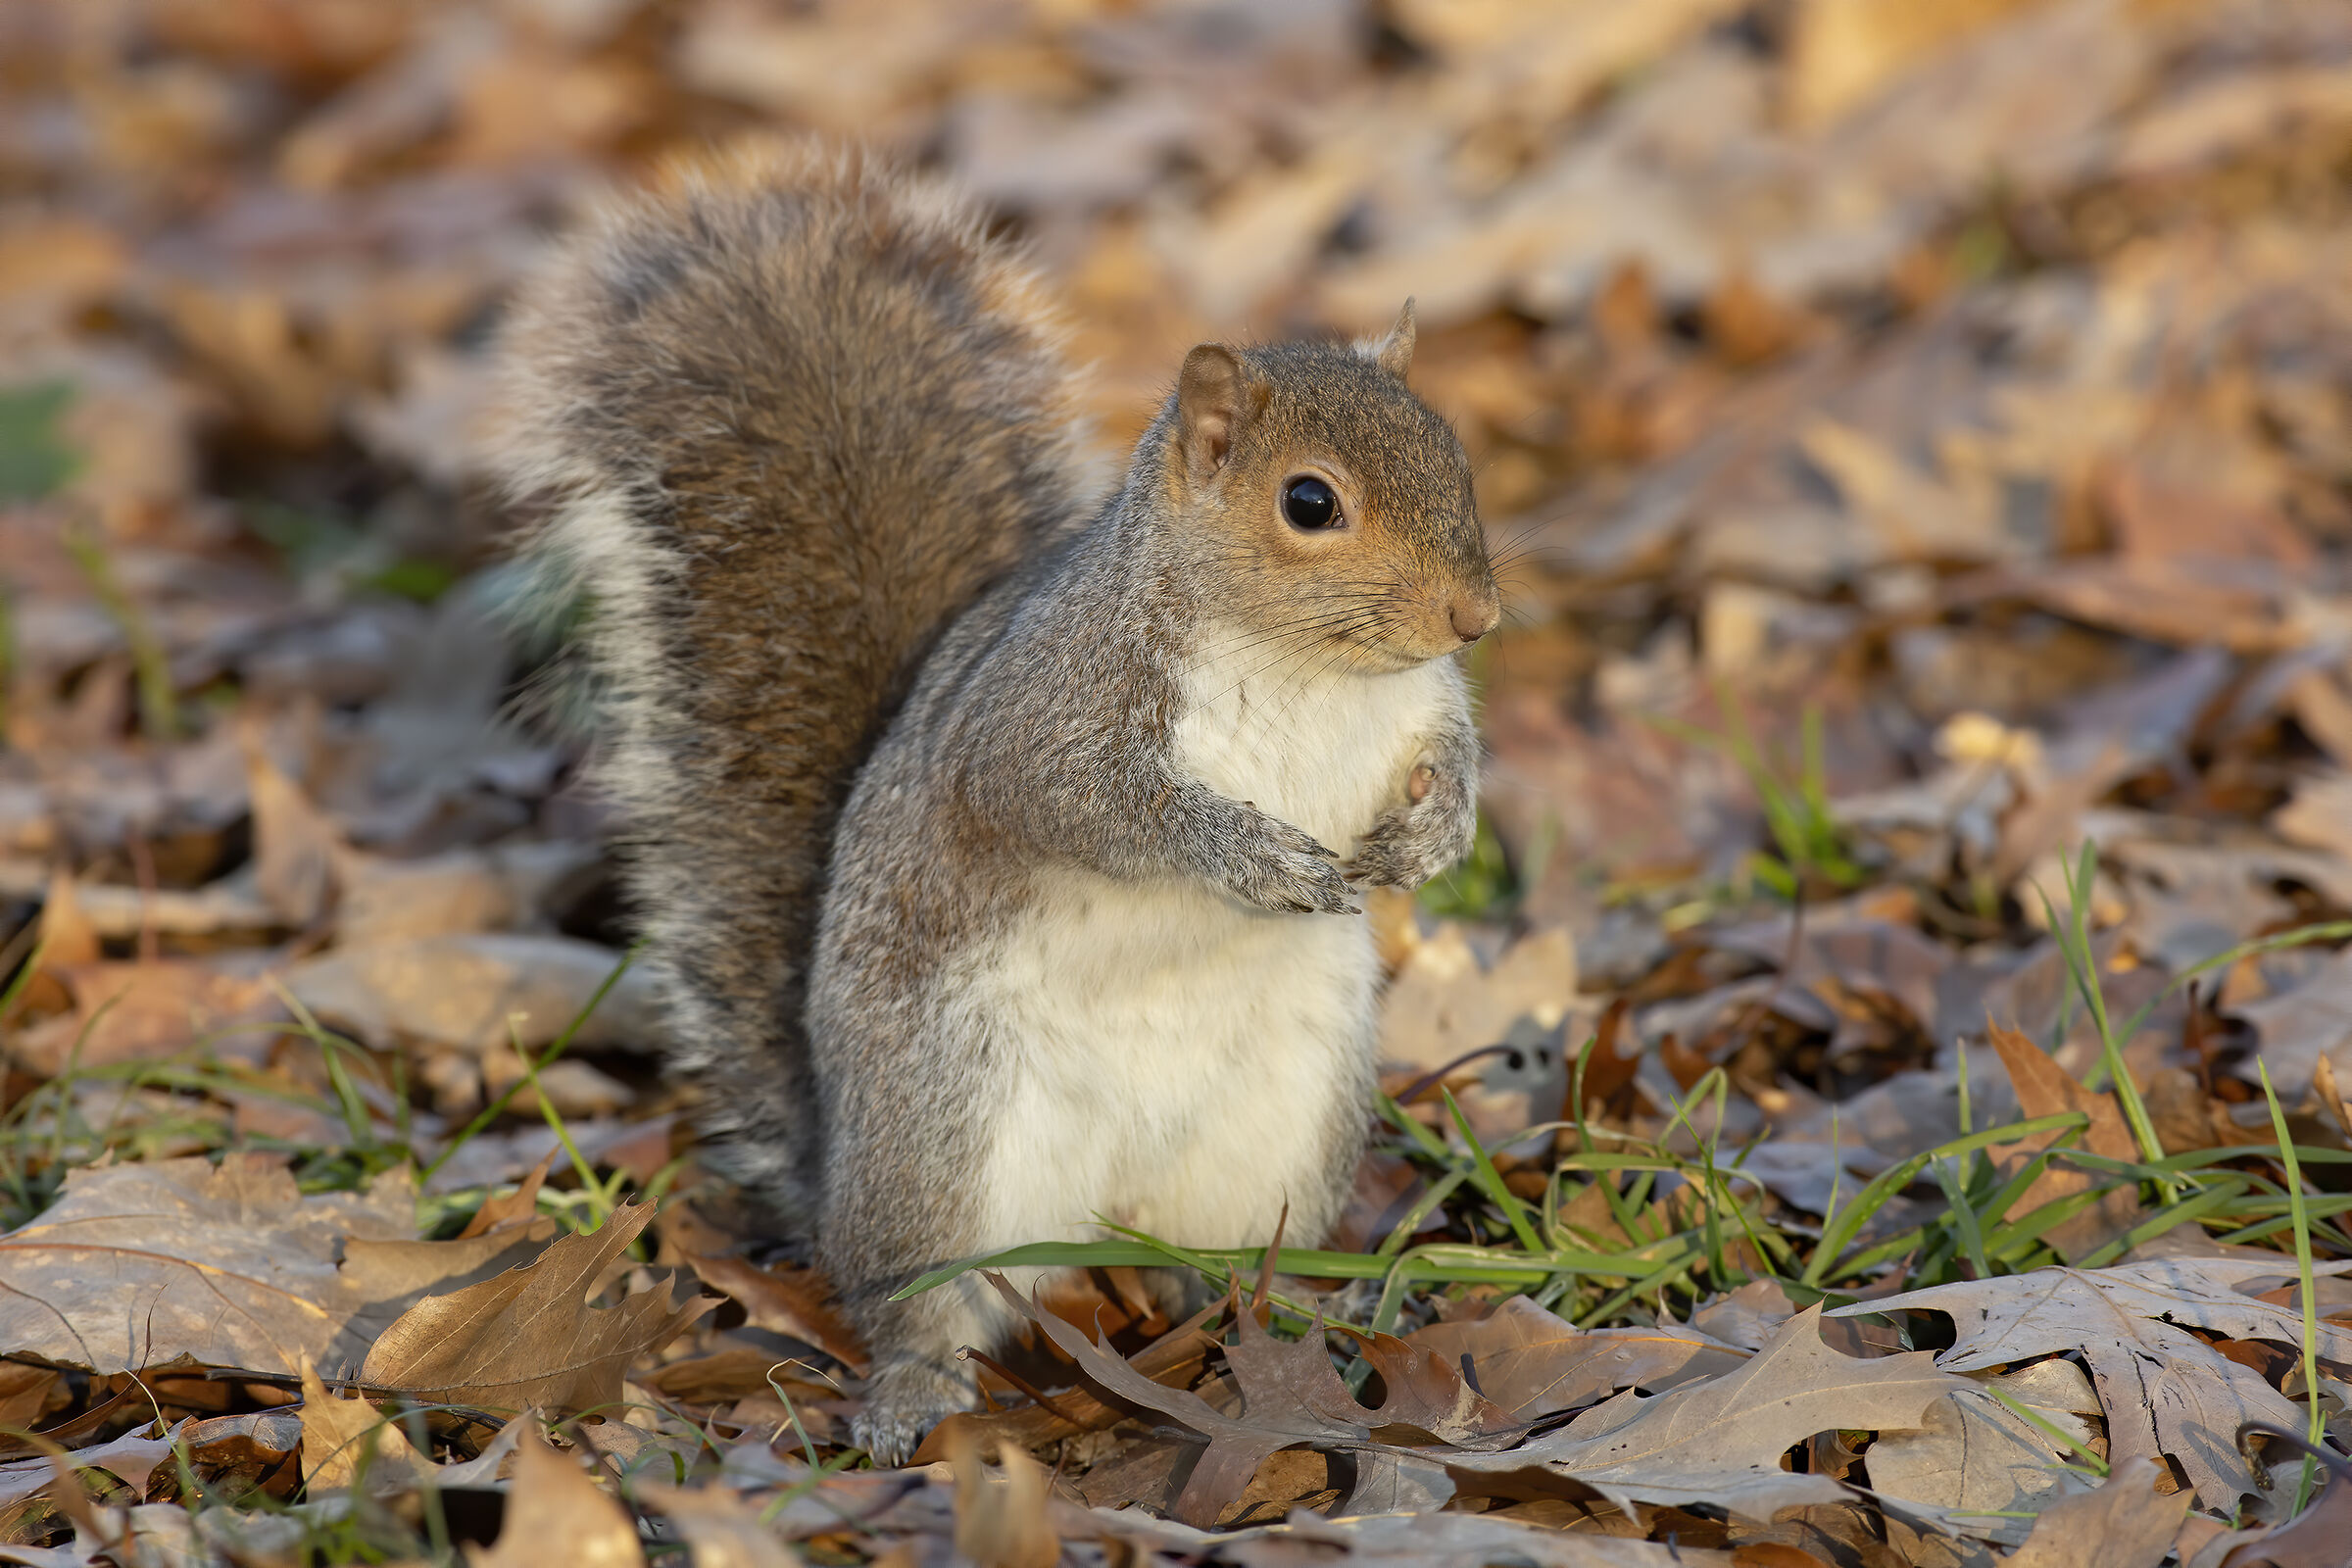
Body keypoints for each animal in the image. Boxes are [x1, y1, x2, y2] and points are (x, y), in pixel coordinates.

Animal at [492, 143, 1499, 1463]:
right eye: (1310, 503)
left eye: (1456, 458)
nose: (1476, 616)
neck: (1309, 668)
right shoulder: (1049, 718)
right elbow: (1094, 808)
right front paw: (1251, 854)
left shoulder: (1422, 708)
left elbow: (1453, 760)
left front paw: (1437, 834)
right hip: (947, 1136)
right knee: (919, 1297)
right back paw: (914, 1390)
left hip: (1284, 1125)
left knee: (1211, 1251)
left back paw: (1266, 1320)